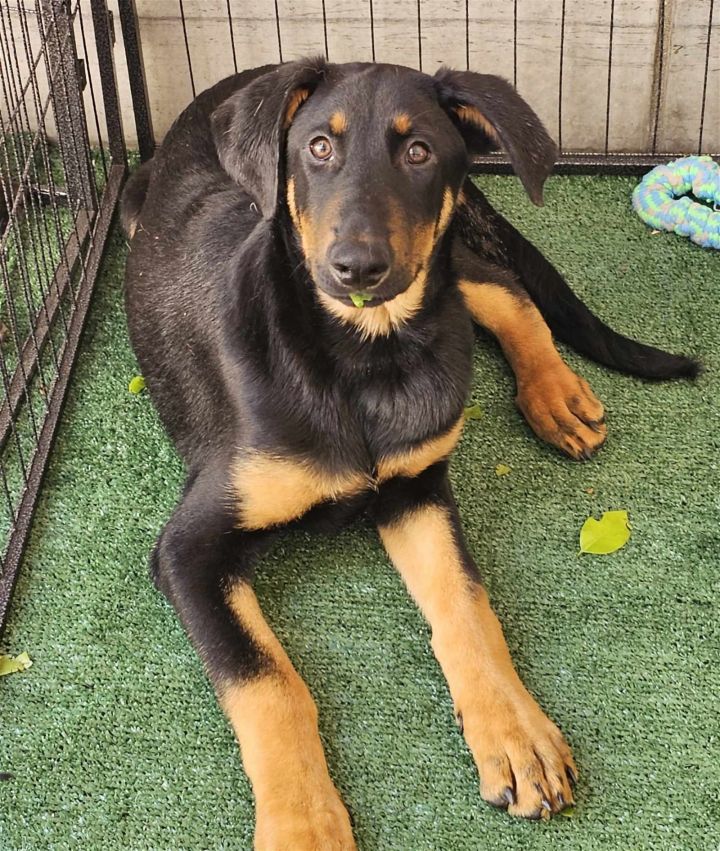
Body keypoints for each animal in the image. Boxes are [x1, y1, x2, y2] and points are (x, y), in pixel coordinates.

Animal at [122, 58, 696, 844]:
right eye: (318, 148)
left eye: (419, 151)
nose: (355, 268)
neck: (367, 362)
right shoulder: (188, 549)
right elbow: (267, 680)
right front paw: (303, 822)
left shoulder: (418, 488)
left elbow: (466, 605)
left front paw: (515, 734)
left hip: (448, 264)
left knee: (501, 288)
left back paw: (554, 393)